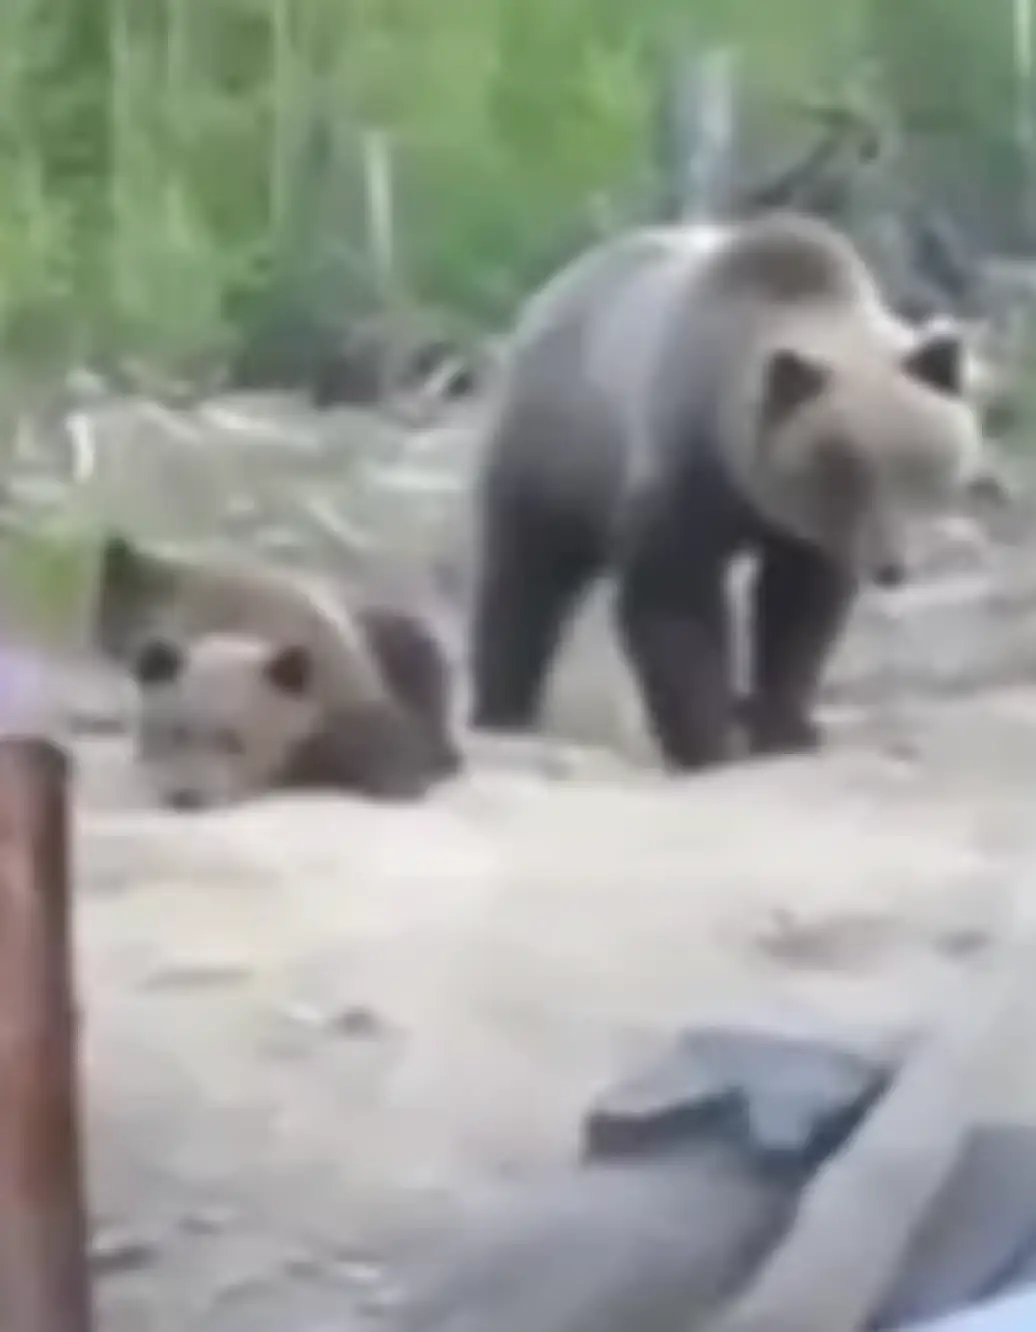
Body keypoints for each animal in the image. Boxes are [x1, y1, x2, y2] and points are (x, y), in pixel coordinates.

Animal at [94, 532, 463, 802]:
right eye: (175, 733)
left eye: (234, 741)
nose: (188, 796)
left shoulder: (332, 669)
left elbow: (381, 730)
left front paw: (400, 780)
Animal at [470, 211, 986, 771]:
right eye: (845, 471)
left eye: (915, 464)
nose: (890, 567)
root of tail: (550, 292)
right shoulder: (684, 466)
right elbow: (673, 598)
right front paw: (707, 740)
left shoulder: (805, 531)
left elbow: (798, 610)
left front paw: (786, 728)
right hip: (557, 453)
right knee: (524, 579)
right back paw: (502, 711)